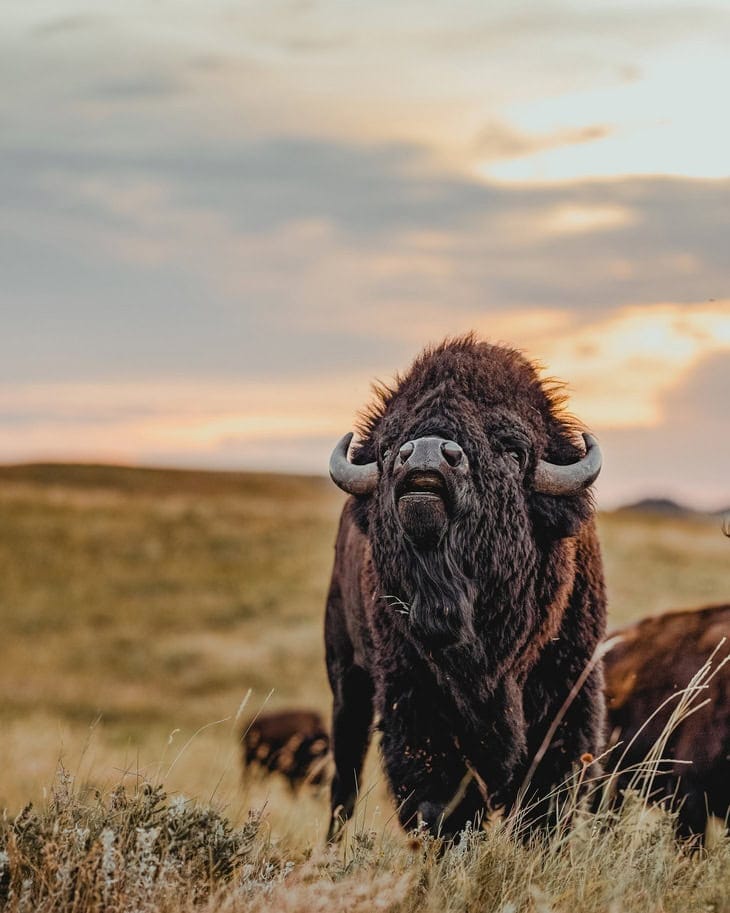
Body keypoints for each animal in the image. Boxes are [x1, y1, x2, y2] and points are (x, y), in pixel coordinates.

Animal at [325, 335, 606, 839]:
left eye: (513, 451)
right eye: (388, 448)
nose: (424, 454)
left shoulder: (570, 697)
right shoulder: (413, 705)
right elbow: (441, 802)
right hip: (347, 682)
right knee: (344, 783)